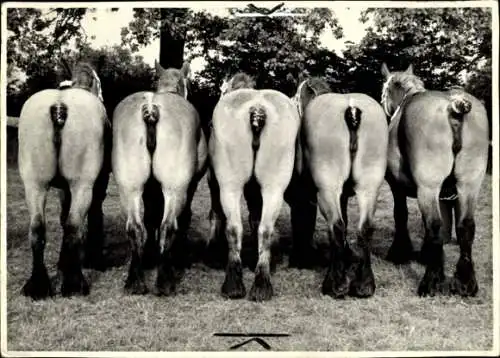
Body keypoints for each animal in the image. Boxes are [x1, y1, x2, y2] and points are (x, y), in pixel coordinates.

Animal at [19, 62, 111, 300]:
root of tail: (59, 105)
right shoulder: (94, 186)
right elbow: (92, 216)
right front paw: (94, 259)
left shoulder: (62, 189)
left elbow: (61, 216)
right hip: (82, 185)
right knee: (73, 225)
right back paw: (74, 283)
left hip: (34, 184)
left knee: (37, 227)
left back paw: (38, 285)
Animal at [111, 61, 207, 296]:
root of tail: (151, 107)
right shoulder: (190, 186)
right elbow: (182, 219)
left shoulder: (149, 190)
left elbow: (150, 218)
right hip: (175, 188)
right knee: (169, 225)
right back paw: (165, 281)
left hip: (130, 187)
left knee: (135, 227)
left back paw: (135, 281)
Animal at [208, 72, 300, 300]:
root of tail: (258, 108)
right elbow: (256, 218)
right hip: (273, 186)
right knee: (264, 229)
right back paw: (261, 283)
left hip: (229, 186)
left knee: (233, 227)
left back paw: (233, 283)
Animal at [292, 77, 388, 298]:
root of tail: (350, 107)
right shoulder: (344, 195)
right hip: (369, 183)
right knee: (365, 227)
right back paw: (364, 284)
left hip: (327, 186)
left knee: (336, 225)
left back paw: (334, 284)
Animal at [380, 63, 490, 296]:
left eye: (384, 91)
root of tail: (455, 105)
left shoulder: (397, 187)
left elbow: (401, 215)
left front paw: (400, 252)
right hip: (469, 185)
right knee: (466, 226)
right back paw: (465, 282)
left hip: (428, 187)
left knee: (435, 225)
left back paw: (431, 281)